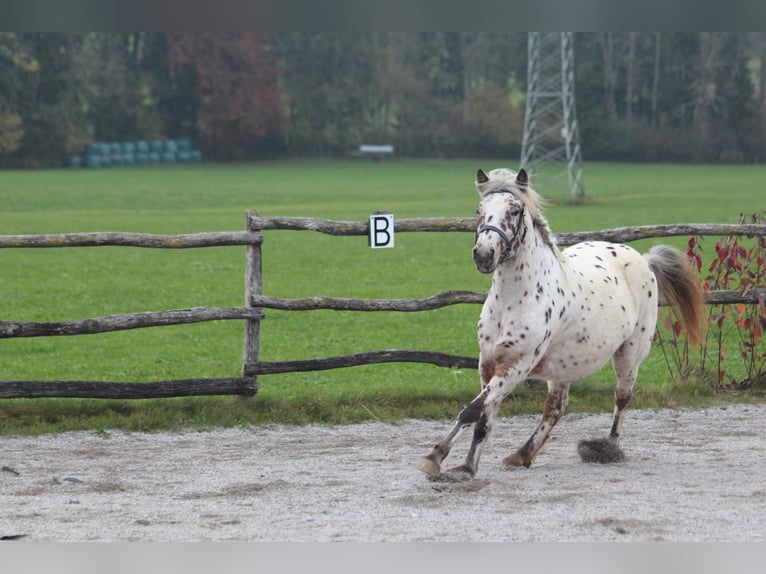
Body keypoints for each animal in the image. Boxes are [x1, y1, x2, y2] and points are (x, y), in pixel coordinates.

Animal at [416, 169, 704, 484]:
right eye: (479, 210)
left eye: (514, 210)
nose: (484, 254)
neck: (515, 298)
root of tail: (643, 259)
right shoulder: (489, 363)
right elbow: (483, 416)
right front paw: (466, 466)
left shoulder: (516, 366)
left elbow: (472, 410)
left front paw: (434, 458)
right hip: (564, 365)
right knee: (557, 407)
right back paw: (522, 454)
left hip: (629, 354)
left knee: (622, 397)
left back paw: (607, 448)